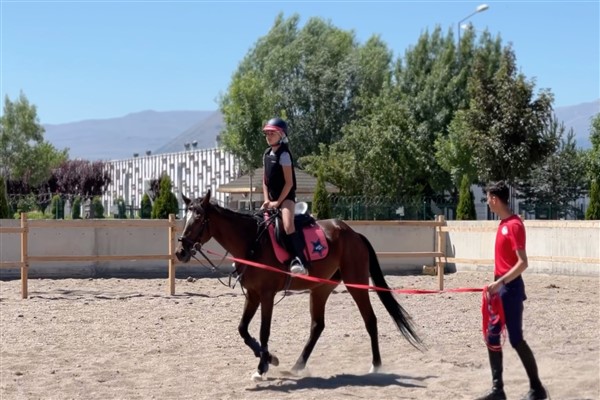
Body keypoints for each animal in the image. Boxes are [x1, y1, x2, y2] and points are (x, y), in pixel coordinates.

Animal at [175, 191, 422, 382]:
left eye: (198, 219)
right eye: (185, 218)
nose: (180, 252)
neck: (252, 241)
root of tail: (353, 233)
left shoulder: (266, 295)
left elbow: (264, 331)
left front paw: (262, 367)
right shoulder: (253, 295)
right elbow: (243, 329)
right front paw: (270, 359)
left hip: (356, 284)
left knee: (370, 320)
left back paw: (376, 366)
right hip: (321, 289)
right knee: (317, 326)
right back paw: (298, 365)